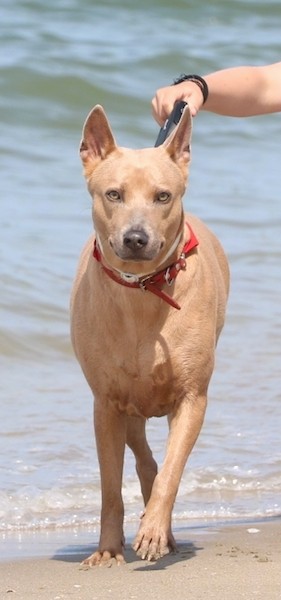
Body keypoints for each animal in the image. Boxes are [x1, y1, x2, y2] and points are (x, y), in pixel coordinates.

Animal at [69, 105, 228, 564]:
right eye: (113, 194)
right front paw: (107, 548)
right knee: (140, 450)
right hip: (128, 401)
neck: (142, 291)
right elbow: (109, 486)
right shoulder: (105, 404)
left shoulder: (193, 396)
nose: (136, 238)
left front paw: (156, 529)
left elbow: (174, 471)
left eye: (163, 196)